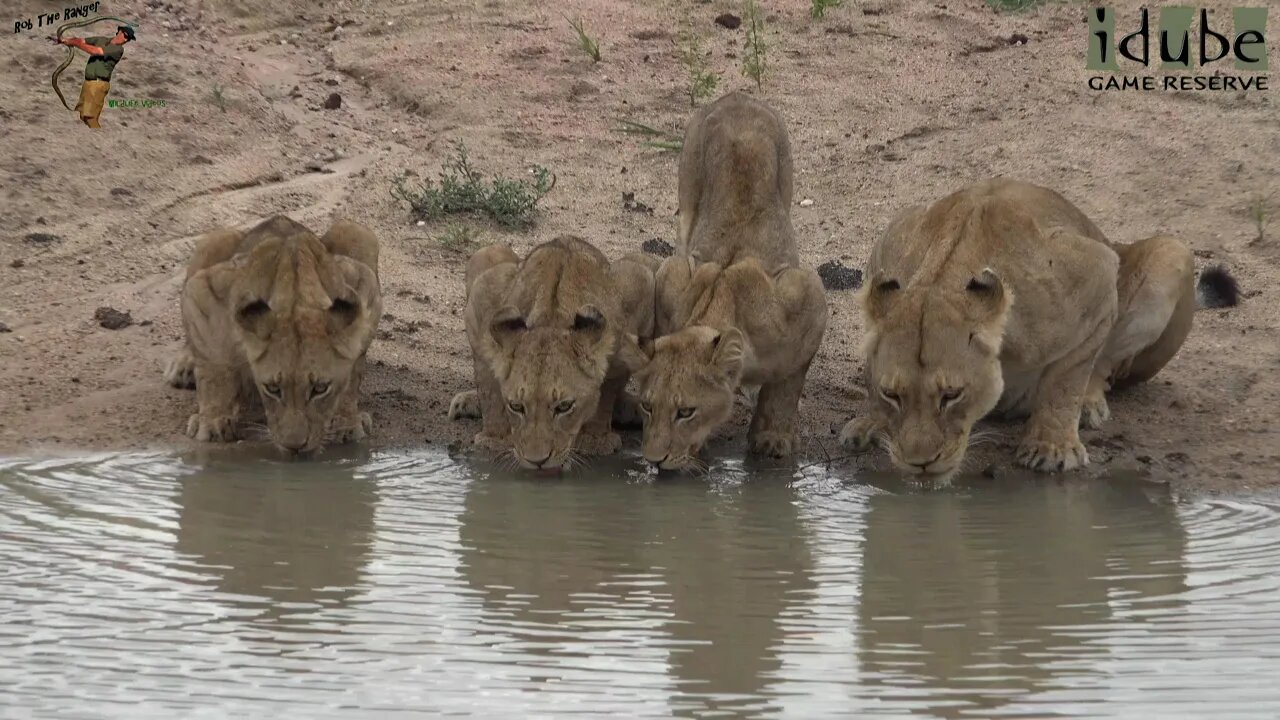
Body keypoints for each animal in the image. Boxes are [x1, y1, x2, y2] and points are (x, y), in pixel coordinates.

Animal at [162, 213, 378, 453]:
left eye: (320, 388)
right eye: (272, 388)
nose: (295, 447)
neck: (295, 297)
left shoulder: (364, 286)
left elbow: (353, 372)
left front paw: (345, 422)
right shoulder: (206, 289)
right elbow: (214, 366)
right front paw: (213, 421)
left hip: (355, 232)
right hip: (213, 240)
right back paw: (183, 367)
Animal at [450, 237, 655, 471]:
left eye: (564, 407)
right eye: (517, 406)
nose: (537, 461)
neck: (553, 316)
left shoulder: (640, 290)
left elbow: (608, 388)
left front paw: (594, 439)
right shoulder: (482, 299)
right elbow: (489, 387)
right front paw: (495, 440)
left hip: (645, 264)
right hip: (487, 252)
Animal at [637, 90, 829, 471]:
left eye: (686, 411)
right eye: (648, 406)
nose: (654, 460)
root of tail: (736, 95)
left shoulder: (808, 296)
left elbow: (786, 387)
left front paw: (772, 438)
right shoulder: (673, 276)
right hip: (687, 200)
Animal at [839, 178, 1198, 479]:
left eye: (952, 395)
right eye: (892, 394)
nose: (921, 463)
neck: (942, 277)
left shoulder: (1097, 273)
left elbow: (1066, 379)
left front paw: (1052, 448)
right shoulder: (889, 242)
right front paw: (872, 422)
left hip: (1171, 253)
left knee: (1107, 366)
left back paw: (1088, 405)